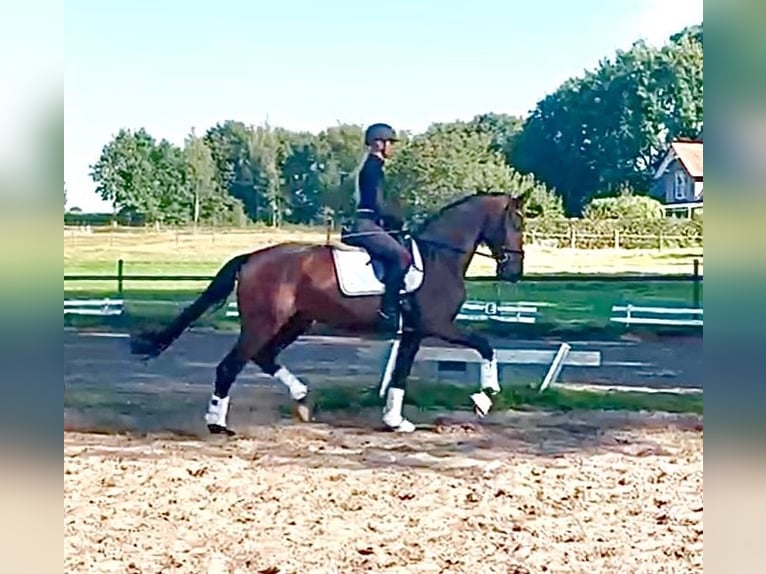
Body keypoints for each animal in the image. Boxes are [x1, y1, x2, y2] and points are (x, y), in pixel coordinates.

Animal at [132, 191, 528, 434]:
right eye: (517, 223)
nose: (514, 272)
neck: (438, 257)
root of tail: (252, 258)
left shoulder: (414, 332)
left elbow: (401, 375)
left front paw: (394, 420)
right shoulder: (437, 325)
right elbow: (484, 344)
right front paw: (484, 397)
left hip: (296, 321)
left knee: (264, 357)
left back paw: (302, 399)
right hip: (264, 323)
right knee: (230, 366)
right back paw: (218, 424)